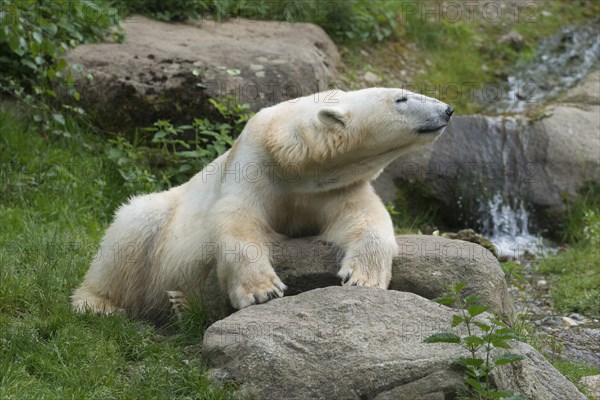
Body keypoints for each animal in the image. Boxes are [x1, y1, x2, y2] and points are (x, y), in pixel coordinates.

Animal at [71, 87, 450, 318]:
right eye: (401, 99)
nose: (447, 109)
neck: (296, 160)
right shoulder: (252, 165)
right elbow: (236, 221)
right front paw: (262, 291)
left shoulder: (332, 188)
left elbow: (364, 219)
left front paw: (362, 278)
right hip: (160, 216)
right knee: (131, 232)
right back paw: (98, 304)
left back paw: (181, 303)